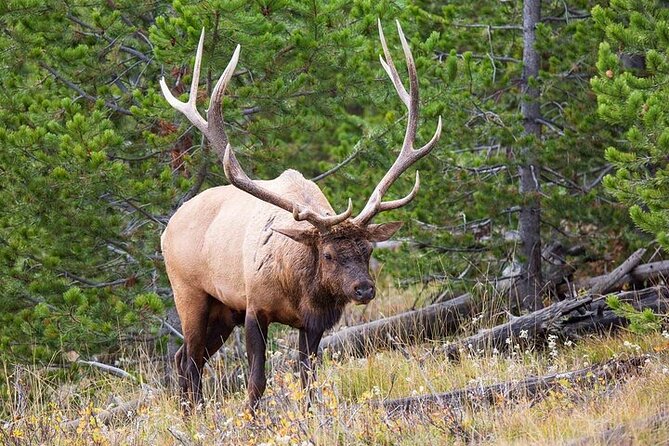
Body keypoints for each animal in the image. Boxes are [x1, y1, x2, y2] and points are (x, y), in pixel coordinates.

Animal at [160, 20, 440, 412]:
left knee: (185, 358)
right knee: (188, 359)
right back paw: (194, 414)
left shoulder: (314, 323)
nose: (364, 288)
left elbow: (308, 378)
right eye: (328, 254)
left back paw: (192, 413)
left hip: (222, 311)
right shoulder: (254, 308)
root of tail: (167, 227)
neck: (298, 288)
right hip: (190, 294)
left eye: (369, 251)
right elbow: (256, 381)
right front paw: (252, 418)